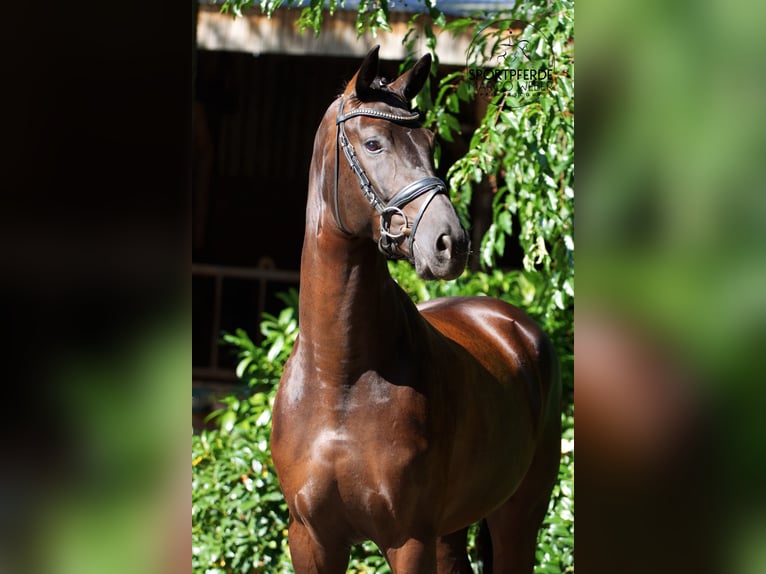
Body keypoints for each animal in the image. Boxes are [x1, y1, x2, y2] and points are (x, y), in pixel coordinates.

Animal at [271, 46, 561, 573]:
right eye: (372, 144)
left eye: (428, 142)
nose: (451, 242)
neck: (339, 378)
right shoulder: (311, 540)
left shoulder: (408, 539)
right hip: (452, 531)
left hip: (518, 517)